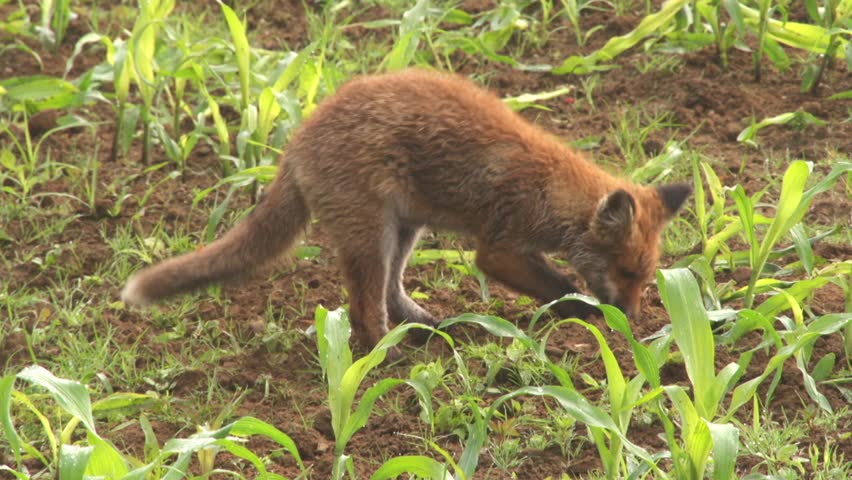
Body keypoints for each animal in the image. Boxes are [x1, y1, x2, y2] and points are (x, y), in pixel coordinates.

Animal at [122, 69, 691, 350]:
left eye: (647, 279)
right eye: (627, 272)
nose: (634, 320)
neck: (551, 190)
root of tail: (297, 141)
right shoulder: (500, 249)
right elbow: (562, 286)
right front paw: (590, 316)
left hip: (404, 231)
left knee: (391, 296)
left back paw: (426, 329)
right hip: (371, 236)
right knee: (362, 311)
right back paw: (381, 359)